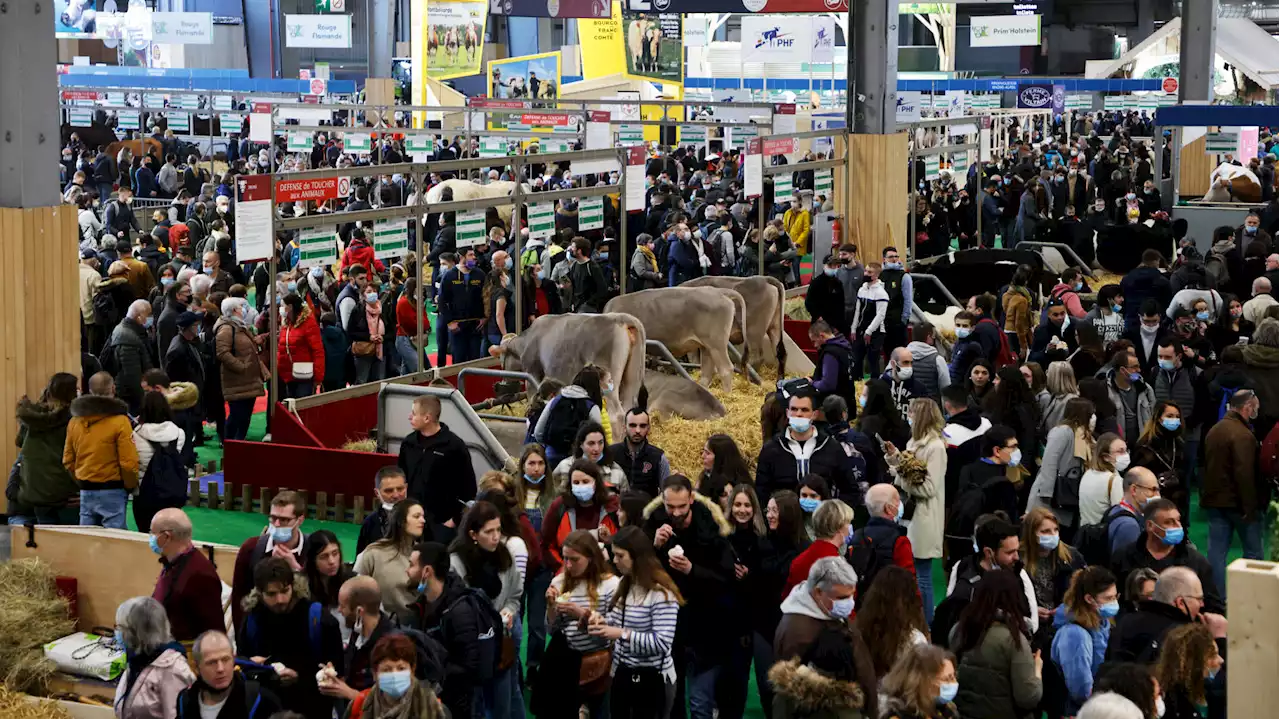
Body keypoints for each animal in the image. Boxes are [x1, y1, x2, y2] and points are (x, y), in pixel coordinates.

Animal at [491, 310, 650, 427]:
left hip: (609, 380)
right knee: (629, 409)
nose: (503, 383)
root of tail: (624, 318)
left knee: (616, 415)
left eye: (501, 358)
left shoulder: (533, 372)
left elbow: (532, 397)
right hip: (631, 379)